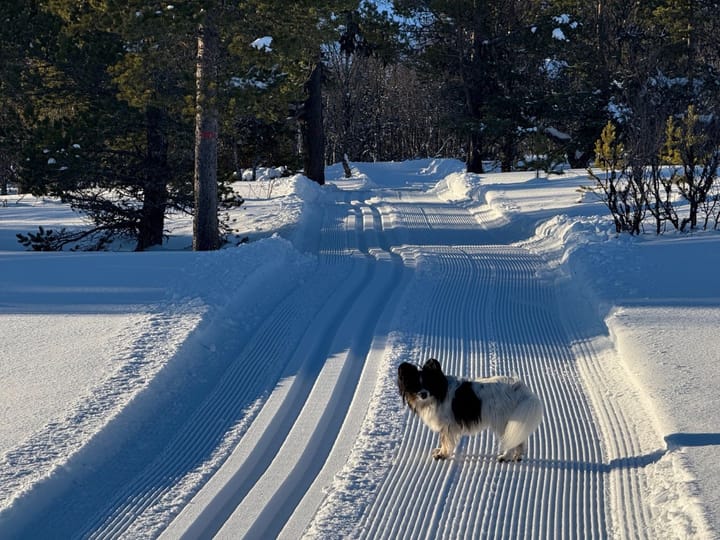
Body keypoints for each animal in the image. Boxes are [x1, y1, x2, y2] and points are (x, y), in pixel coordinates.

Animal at [396, 358, 544, 460]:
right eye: (416, 385)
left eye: (429, 384)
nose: (423, 394)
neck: (439, 391)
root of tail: (521, 389)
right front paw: (440, 451)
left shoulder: (448, 426)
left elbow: (446, 441)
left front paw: (442, 455)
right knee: (519, 441)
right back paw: (517, 457)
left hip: (503, 422)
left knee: (511, 441)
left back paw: (505, 457)